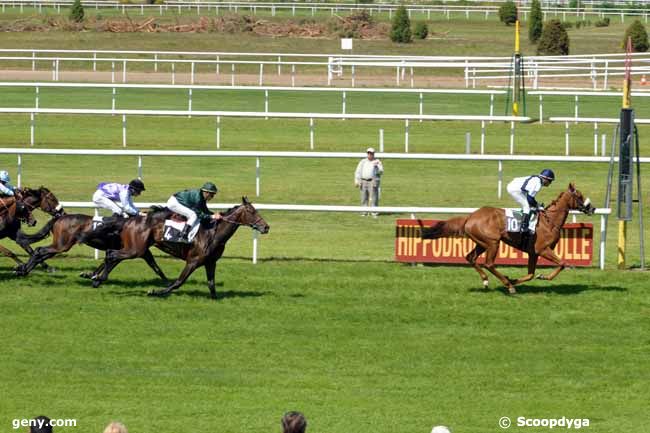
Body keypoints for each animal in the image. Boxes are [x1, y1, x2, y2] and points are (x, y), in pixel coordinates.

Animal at [15, 211, 168, 282]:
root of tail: (59, 217)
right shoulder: (128, 250)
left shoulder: (140, 251)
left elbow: (155, 266)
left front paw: (90, 275)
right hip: (62, 245)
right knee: (40, 250)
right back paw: (23, 270)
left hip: (60, 245)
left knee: (40, 252)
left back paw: (23, 269)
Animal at [92, 196, 270, 296]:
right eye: (252, 211)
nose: (266, 227)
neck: (213, 233)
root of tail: (130, 219)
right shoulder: (193, 261)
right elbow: (178, 282)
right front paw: (156, 292)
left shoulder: (210, 262)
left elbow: (211, 284)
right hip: (137, 249)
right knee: (111, 254)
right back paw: (97, 278)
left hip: (135, 248)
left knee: (113, 256)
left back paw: (96, 278)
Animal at [420, 182, 592, 294]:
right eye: (579, 196)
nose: (592, 208)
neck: (549, 221)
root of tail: (470, 216)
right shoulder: (542, 249)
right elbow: (562, 263)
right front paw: (542, 276)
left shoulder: (533, 252)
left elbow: (530, 274)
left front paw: (517, 279)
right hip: (493, 242)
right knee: (489, 263)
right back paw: (508, 285)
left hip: (482, 242)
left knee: (470, 257)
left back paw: (487, 280)